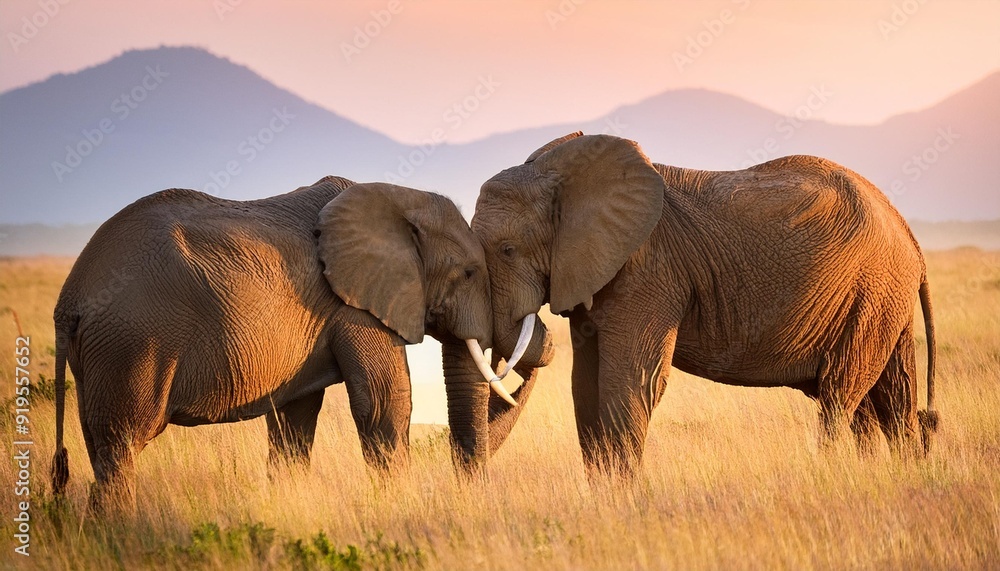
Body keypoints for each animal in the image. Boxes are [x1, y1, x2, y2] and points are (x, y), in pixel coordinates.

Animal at [49, 176, 526, 512]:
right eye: (468, 273)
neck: (400, 196)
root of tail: (70, 297)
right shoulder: (353, 306)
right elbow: (384, 402)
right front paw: (399, 507)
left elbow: (294, 419)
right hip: (132, 346)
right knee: (123, 444)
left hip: (103, 355)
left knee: (102, 445)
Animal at [470, 132, 939, 477]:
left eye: (507, 250)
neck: (559, 170)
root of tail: (906, 229)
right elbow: (584, 387)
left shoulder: (648, 270)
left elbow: (633, 382)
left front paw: (626, 501)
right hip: (881, 298)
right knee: (889, 394)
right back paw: (894, 473)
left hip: (871, 292)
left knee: (841, 393)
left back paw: (830, 474)